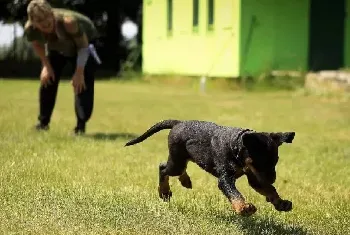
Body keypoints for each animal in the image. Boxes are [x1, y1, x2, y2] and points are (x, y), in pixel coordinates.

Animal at [125, 120, 296, 216]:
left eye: (275, 161)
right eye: (260, 161)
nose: (272, 178)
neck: (235, 146)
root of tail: (178, 123)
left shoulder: (255, 177)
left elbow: (269, 189)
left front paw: (281, 203)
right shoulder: (225, 178)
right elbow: (235, 193)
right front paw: (243, 208)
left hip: (182, 159)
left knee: (177, 169)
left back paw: (185, 181)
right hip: (177, 161)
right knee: (163, 168)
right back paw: (164, 192)